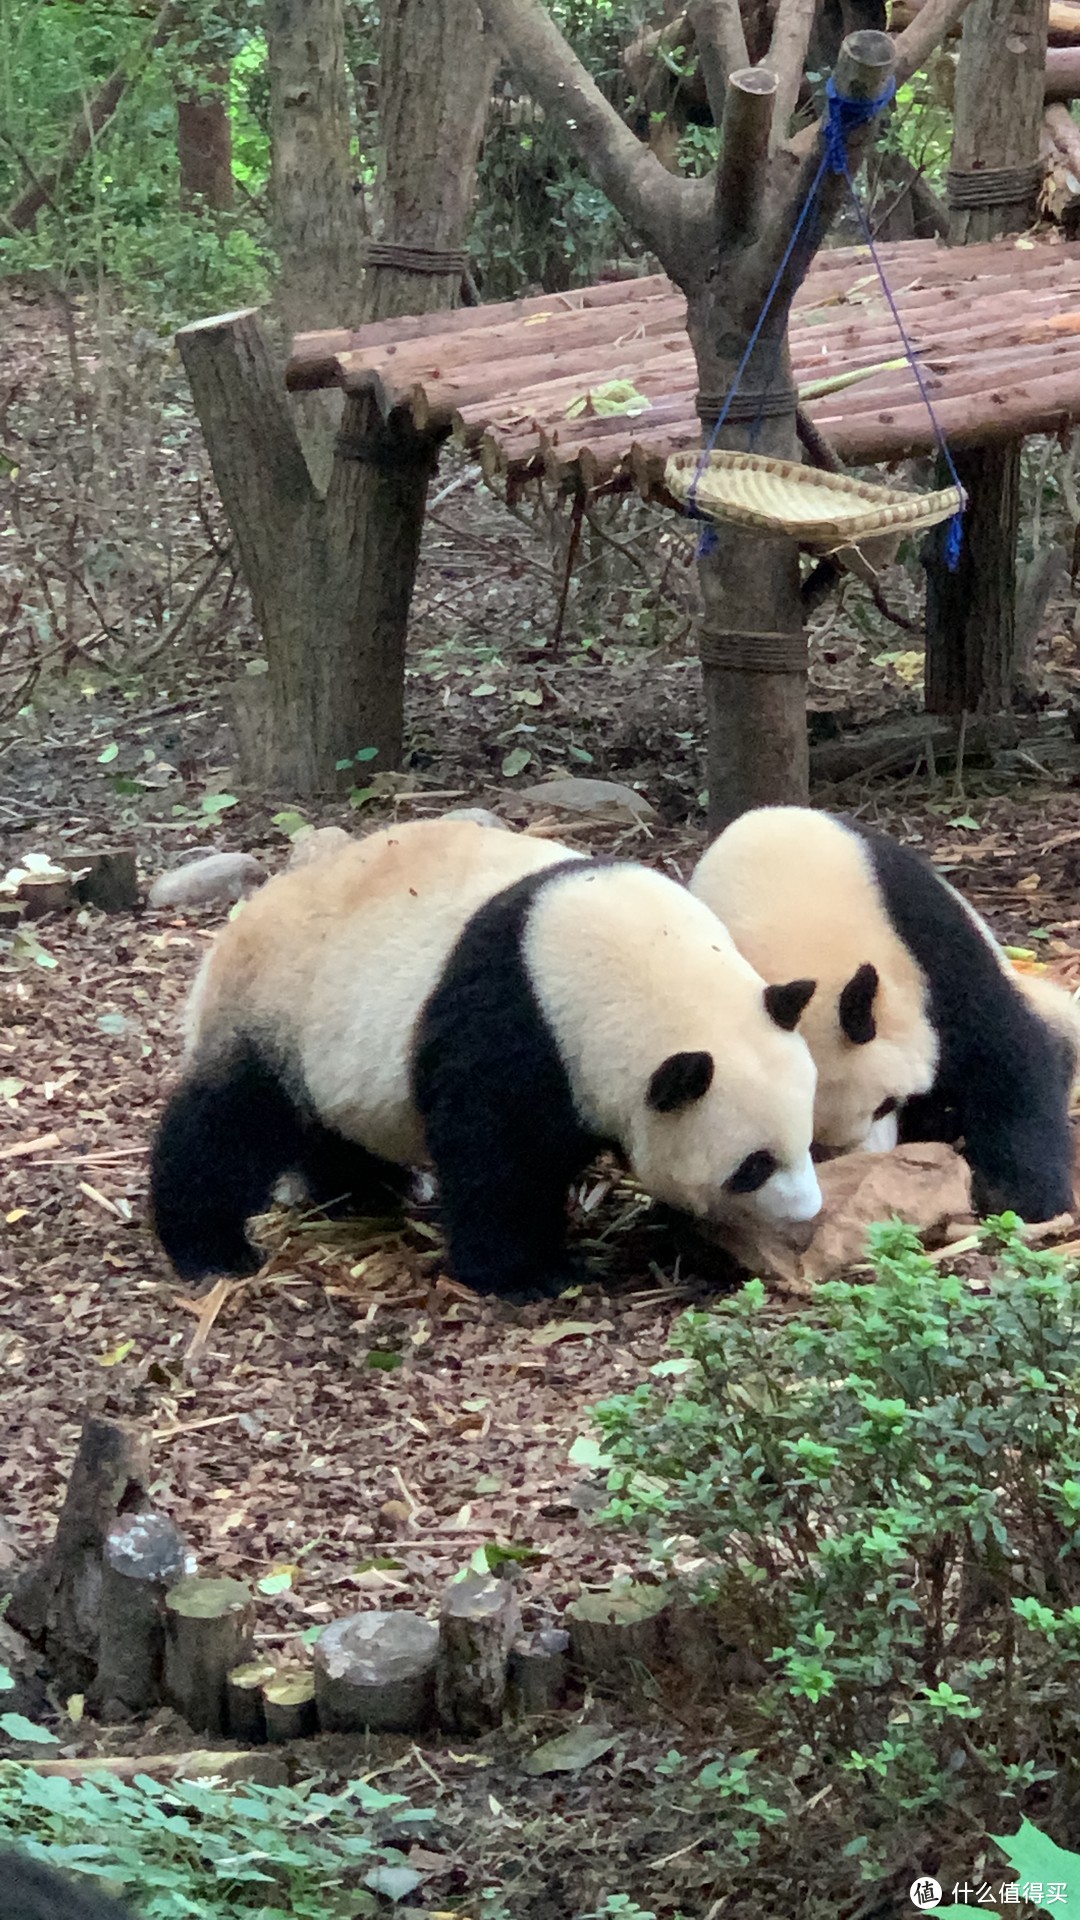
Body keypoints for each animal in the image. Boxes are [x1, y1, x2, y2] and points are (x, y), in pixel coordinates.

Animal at [148, 817, 814, 1297]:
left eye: (805, 1140)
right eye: (753, 1166)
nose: (808, 1212)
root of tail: (228, 938)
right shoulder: (519, 1026)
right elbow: (498, 1157)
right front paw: (531, 1274)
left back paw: (369, 1190)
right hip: (275, 1007)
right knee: (230, 1122)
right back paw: (210, 1248)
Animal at [687, 802, 1076, 1221]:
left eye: (885, 1104)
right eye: (818, 1143)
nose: (876, 1154)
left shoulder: (927, 942)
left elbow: (1003, 1055)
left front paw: (1021, 1196)